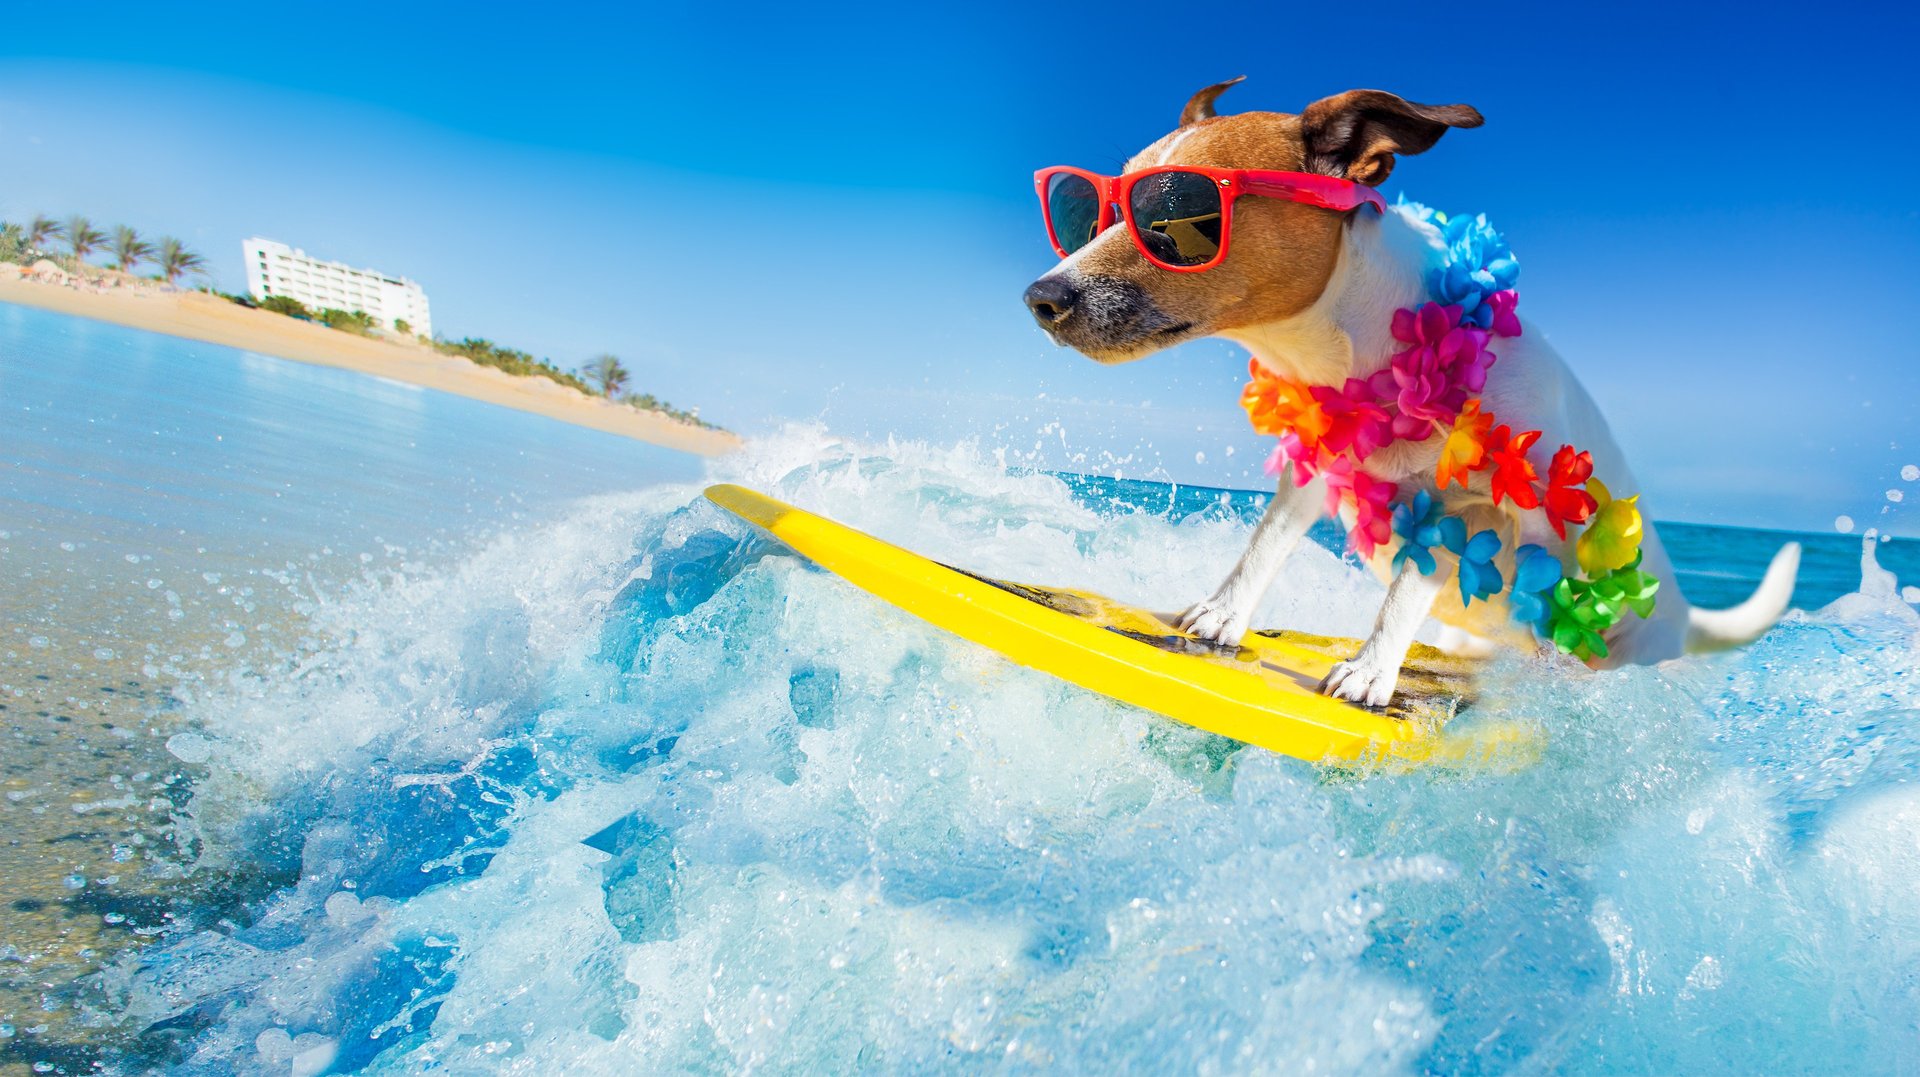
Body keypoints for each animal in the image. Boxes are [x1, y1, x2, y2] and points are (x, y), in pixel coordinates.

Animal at [1021, 82, 1797, 706]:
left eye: (1178, 211)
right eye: (1093, 210)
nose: (1040, 298)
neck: (1366, 352)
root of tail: (1682, 608)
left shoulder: (1473, 506)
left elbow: (1404, 593)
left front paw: (1370, 672)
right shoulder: (1314, 469)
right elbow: (1264, 544)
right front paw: (1221, 616)